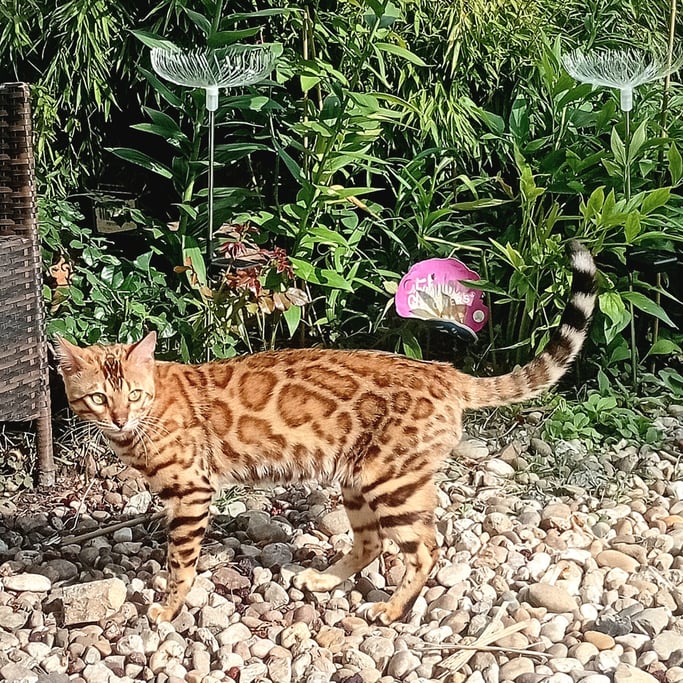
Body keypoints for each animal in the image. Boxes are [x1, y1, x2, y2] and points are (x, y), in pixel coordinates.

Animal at [56, 241, 596, 625]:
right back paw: (325, 580)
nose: (119, 418)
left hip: (392, 482)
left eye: (134, 395)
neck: (144, 421)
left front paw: (168, 609)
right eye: (99, 398)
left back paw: (391, 609)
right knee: (371, 544)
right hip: (359, 480)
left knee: (426, 549)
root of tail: (444, 370)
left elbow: (180, 563)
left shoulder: (191, 492)